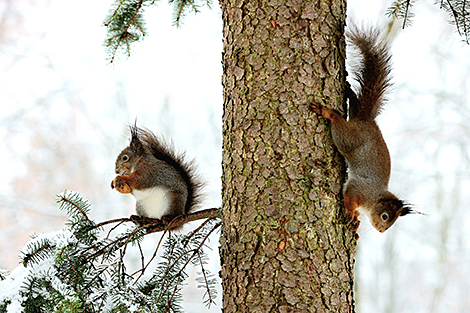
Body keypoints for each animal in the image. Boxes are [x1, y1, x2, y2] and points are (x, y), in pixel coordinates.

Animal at [312, 26, 414, 232]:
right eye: (385, 216)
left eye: (390, 224)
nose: (381, 230)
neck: (374, 199)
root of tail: (366, 121)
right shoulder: (359, 189)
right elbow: (350, 198)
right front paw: (351, 213)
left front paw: (356, 221)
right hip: (349, 140)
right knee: (340, 128)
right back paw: (329, 114)